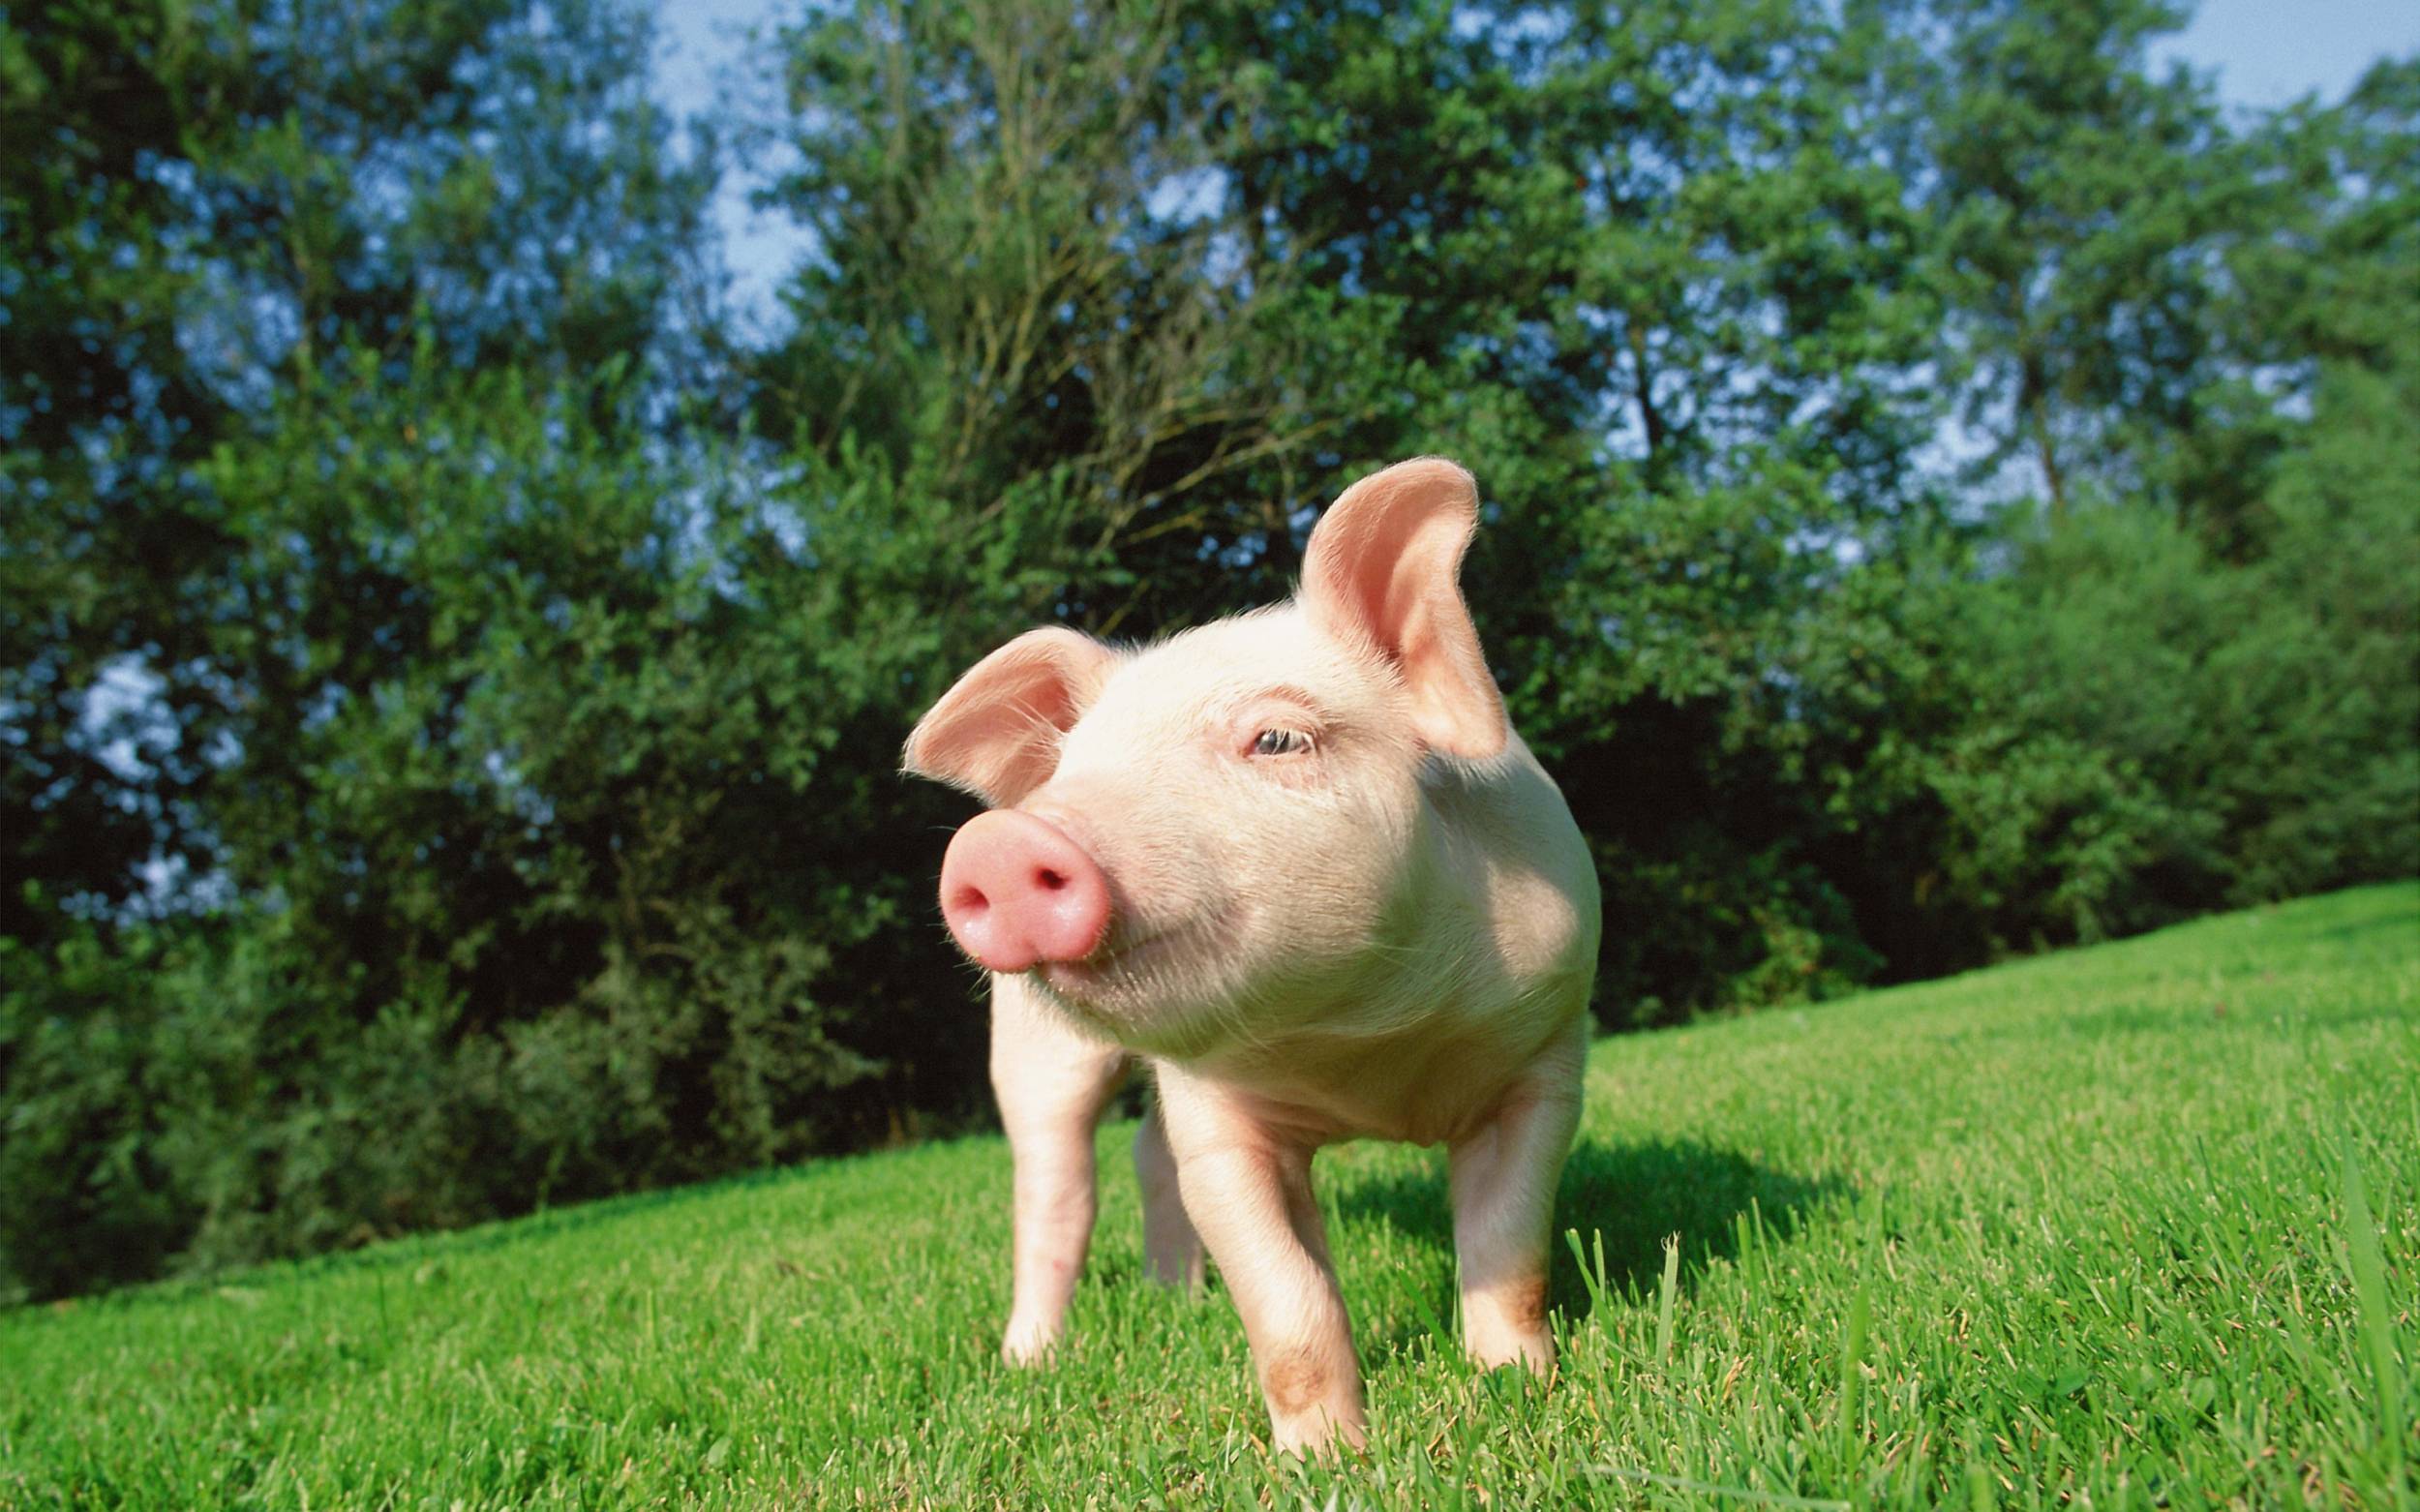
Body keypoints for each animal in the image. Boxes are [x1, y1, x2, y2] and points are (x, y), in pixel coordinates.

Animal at [901, 457, 1600, 1453]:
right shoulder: (1221, 1126)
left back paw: (1177, 1301)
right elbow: (1289, 1307)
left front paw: (1517, 1389)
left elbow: (1512, 1256)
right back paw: (1030, 1360)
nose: (997, 845)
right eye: (1072, 767)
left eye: (1276, 738)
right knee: (1053, 1192)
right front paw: (1327, 1461)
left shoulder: (1547, 1054)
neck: (1367, 1045)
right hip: (1031, 1050)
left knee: (1142, 1155)